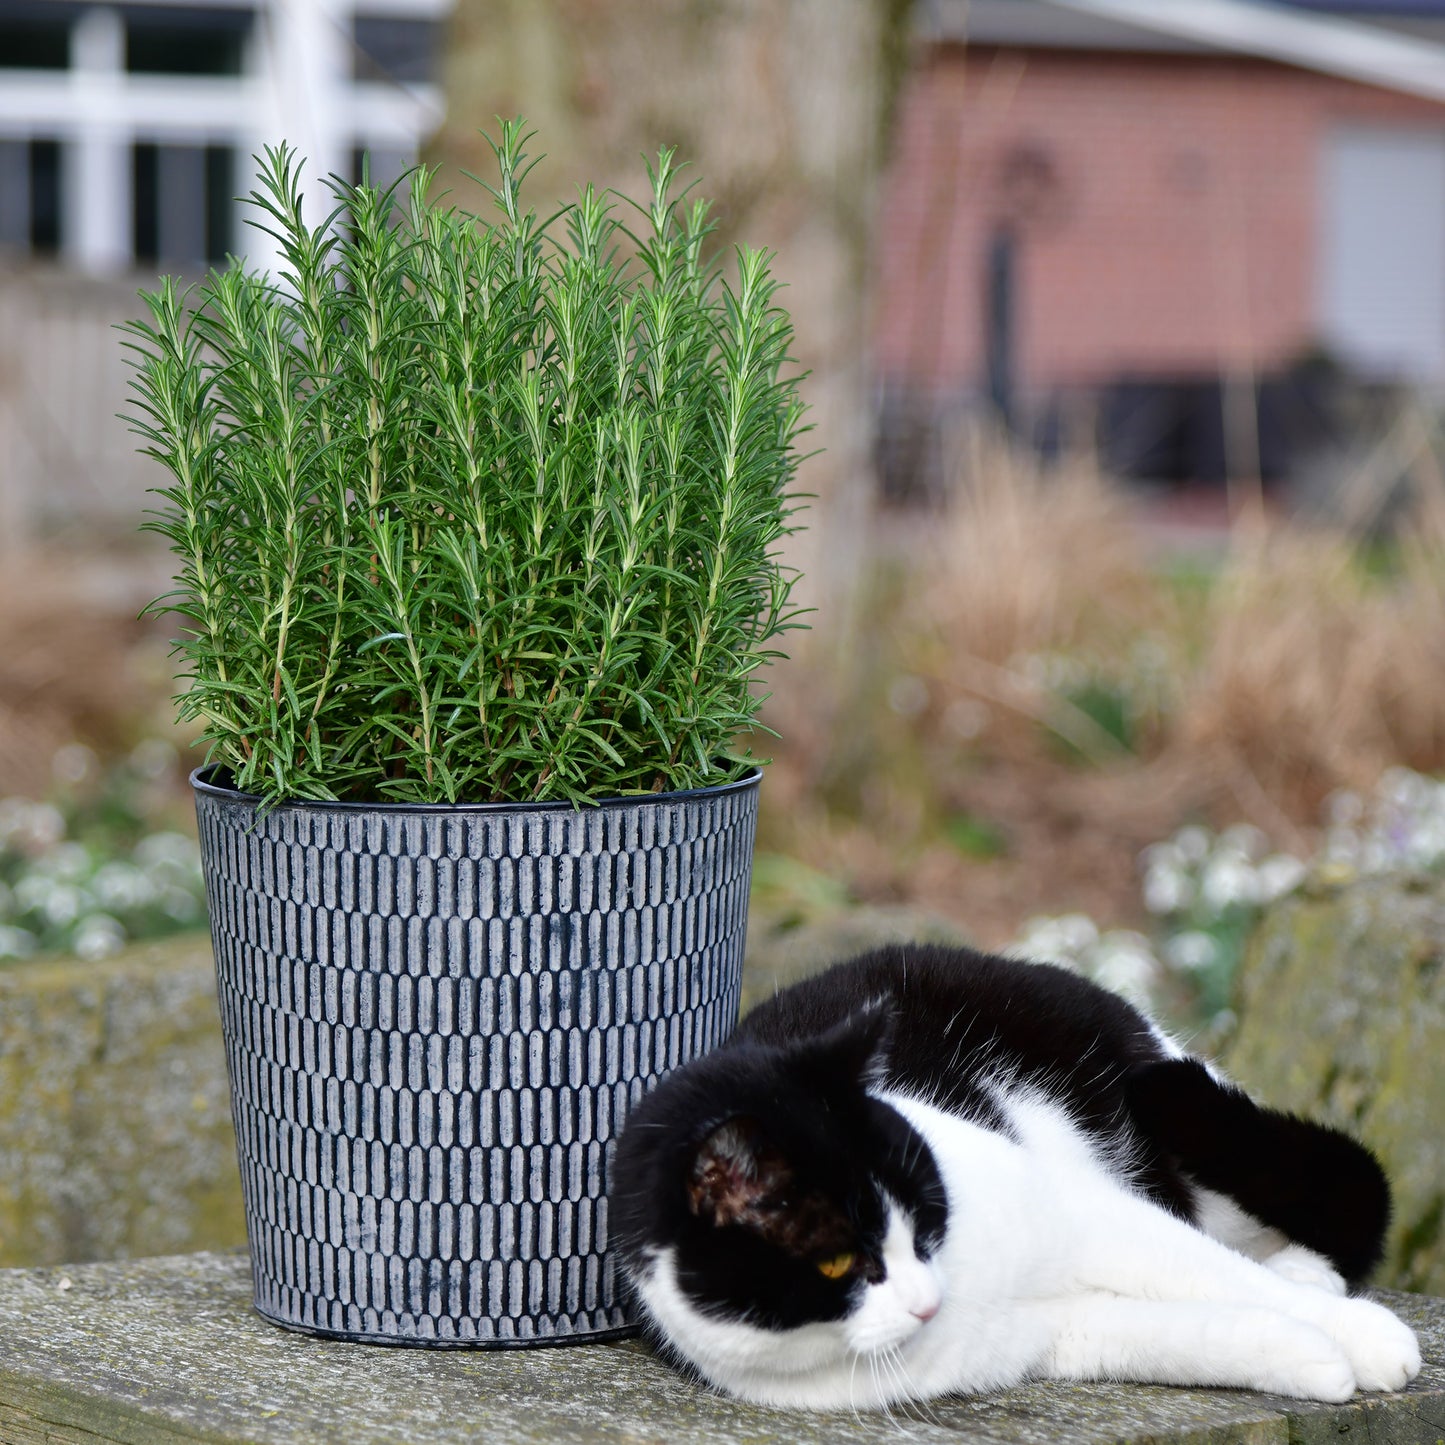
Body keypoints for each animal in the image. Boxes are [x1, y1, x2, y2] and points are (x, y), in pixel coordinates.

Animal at [612, 942, 1421, 1404]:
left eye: (925, 1212)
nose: (927, 1298)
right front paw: (1311, 1360)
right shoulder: (1058, 1333)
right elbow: (1191, 1334)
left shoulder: (1089, 1217)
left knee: (1315, 1204)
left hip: (1180, 1114)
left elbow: (1212, 1275)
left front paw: (1367, 1340)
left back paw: (1304, 1274)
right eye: (838, 1260)